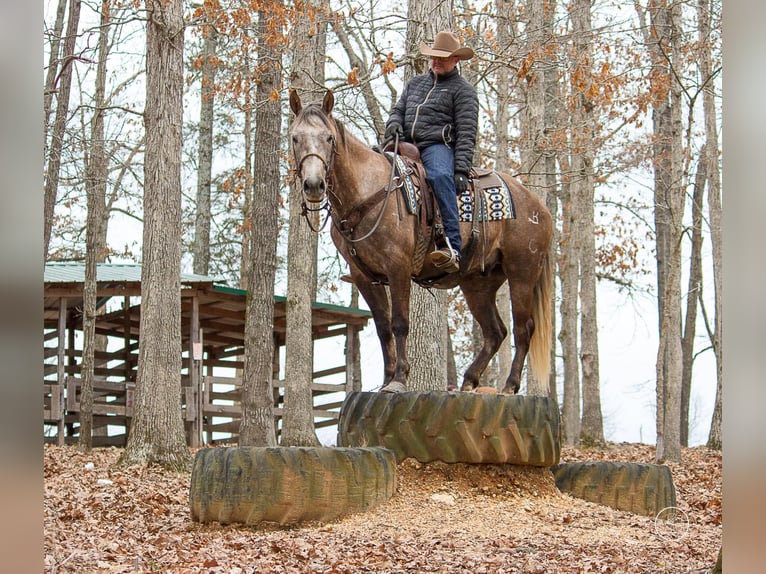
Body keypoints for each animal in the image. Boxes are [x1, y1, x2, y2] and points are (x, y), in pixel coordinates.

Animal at [288, 90, 552, 396]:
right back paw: (469, 381)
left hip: (522, 273)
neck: (368, 192)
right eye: (295, 137)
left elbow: (400, 323)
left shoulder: (398, 267)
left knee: (523, 328)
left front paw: (399, 379)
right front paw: (386, 379)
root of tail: (539, 207)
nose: (313, 185)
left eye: (329, 138)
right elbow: (383, 328)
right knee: (495, 331)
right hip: (478, 283)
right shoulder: (363, 276)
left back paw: (509, 386)